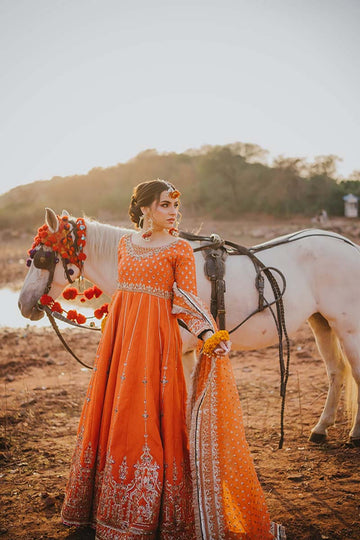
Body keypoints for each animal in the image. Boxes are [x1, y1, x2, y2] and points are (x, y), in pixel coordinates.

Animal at [18, 207, 360, 442]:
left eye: (43, 259)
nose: (22, 304)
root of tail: (348, 244)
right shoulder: (185, 351)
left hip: (348, 326)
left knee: (354, 372)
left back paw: (354, 434)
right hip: (321, 322)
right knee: (335, 371)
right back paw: (321, 428)